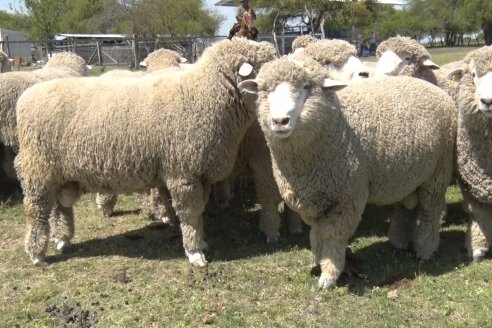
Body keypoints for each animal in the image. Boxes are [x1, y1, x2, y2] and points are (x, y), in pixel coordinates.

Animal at [15, 39, 278, 270]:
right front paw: (195, 253)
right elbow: (190, 213)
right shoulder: (183, 173)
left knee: (61, 207)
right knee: (36, 211)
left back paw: (62, 240)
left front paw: (201, 242)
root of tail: (25, 98)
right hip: (38, 171)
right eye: (265, 69)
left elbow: (199, 213)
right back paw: (37, 255)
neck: (203, 95)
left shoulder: (200, 174)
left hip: (62, 176)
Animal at [238, 55, 458, 288]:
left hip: (437, 174)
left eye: (306, 86)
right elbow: (317, 234)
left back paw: (425, 250)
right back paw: (399, 242)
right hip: (407, 176)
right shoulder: (313, 200)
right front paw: (319, 260)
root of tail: (437, 91)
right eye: (266, 90)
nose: (280, 121)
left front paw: (330, 274)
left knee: (429, 212)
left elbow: (333, 235)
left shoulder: (347, 198)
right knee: (406, 208)